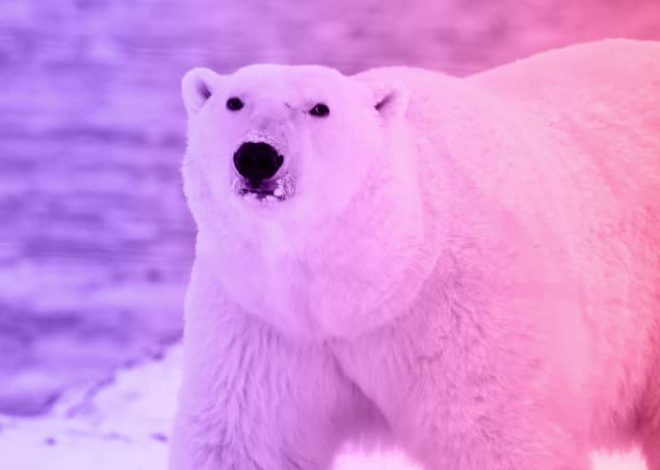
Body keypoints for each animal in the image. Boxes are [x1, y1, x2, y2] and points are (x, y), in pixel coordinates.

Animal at [169, 39, 660, 470]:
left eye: (319, 108)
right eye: (234, 101)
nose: (257, 156)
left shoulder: (466, 315)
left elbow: (498, 436)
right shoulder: (262, 323)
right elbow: (246, 441)